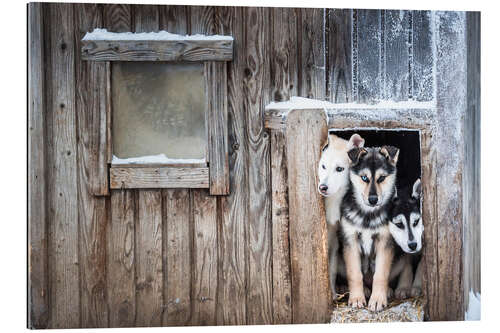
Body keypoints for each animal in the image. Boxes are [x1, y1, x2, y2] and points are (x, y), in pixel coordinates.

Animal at [318, 131, 366, 296]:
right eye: (323, 166)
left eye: (339, 169)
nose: (322, 187)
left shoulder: (335, 240)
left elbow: (331, 269)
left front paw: (332, 294)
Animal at [340, 145, 398, 312]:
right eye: (364, 178)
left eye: (381, 178)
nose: (373, 200)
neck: (368, 214)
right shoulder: (350, 240)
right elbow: (354, 273)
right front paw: (356, 298)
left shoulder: (385, 241)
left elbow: (380, 274)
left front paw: (378, 299)